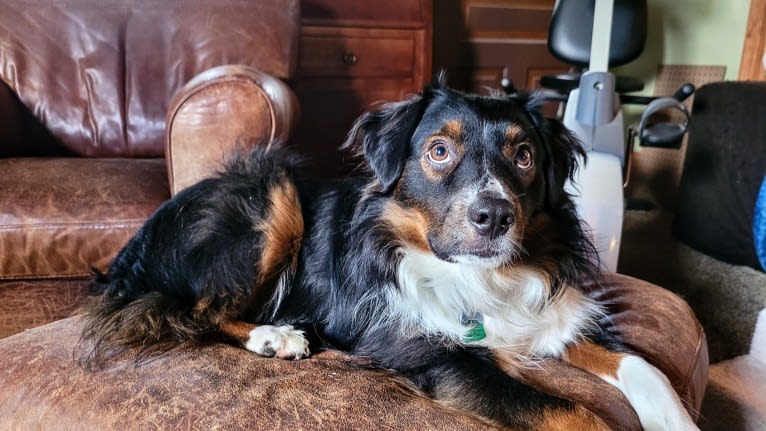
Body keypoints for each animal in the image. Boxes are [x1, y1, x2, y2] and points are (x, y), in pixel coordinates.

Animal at [81, 78, 700, 431]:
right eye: (438, 151)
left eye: (523, 156)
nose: (494, 217)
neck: (483, 278)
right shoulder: (434, 356)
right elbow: (573, 411)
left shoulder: (561, 316)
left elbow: (646, 368)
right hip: (272, 198)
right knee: (195, 310)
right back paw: (275, 335)